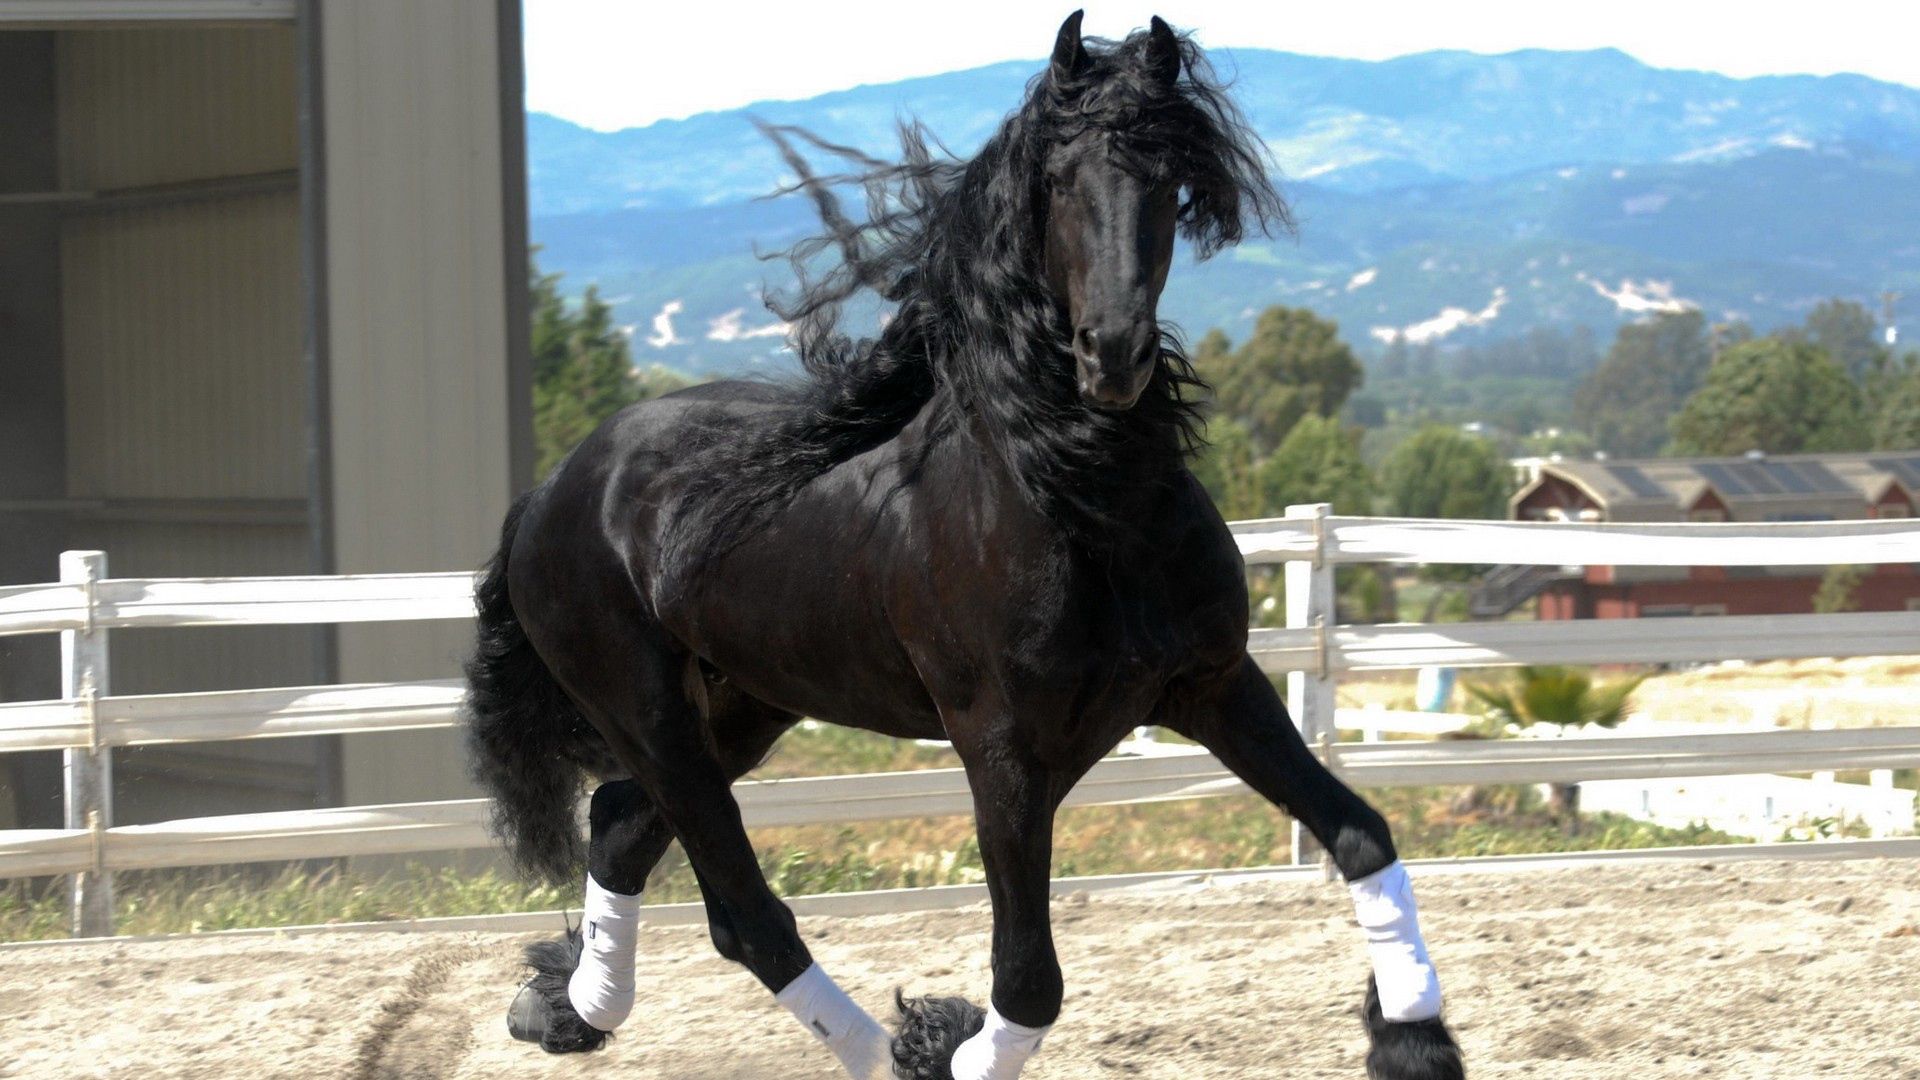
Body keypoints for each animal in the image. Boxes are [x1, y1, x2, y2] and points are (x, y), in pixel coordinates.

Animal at [472, 14, 1459, 1076]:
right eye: (1059, 179)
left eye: (1168, 179)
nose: (1113, 355)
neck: (1083, 502)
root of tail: (552, 490)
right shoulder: (1003, 752)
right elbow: (1028, 978)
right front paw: (946, 1040)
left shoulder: (1215, 686)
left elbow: (1360, 833)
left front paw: (1415, 1039)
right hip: (650, 714)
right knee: (746, 916)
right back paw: (884, 1049)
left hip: (743, 705)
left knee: (620, 827)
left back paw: (564, 1010)